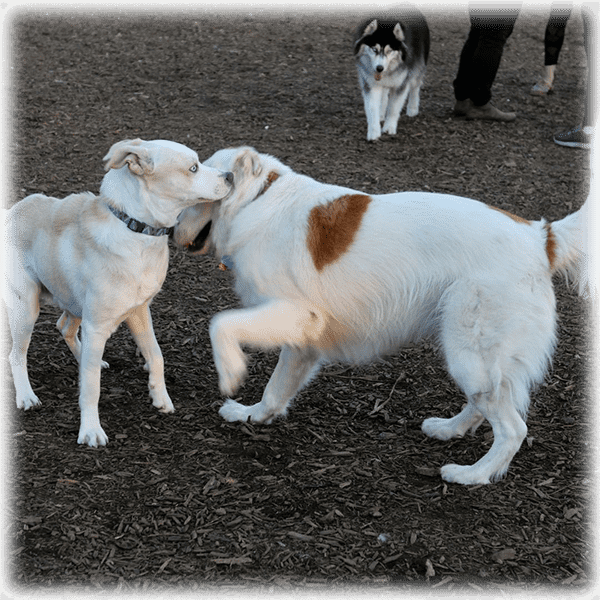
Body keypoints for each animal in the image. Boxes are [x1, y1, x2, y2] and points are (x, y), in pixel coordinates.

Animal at [2, 139, 233, 447]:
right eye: (193, 168)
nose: (231, 176)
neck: (135, 231)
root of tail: (9, 214)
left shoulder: (139, 312)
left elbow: (156, 355)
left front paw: (160, 397)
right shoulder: (97, 325)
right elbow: (91, 389)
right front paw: (90, 430)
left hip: (75, 305)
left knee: (64, 327)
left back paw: (90, 360)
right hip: (26, 309)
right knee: (17, 355)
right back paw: (26, 396)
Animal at [174, 124, 598, 485]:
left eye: (195, 195)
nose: (171, 231)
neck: (257, 199)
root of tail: (541, 236)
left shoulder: (296, 314)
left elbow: (221, 323)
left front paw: (231, 375)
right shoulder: (304, 341)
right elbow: (275, 391)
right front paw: (253, 415)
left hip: (470, 351)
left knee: (512, 429)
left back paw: (473, 475)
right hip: (477, 360)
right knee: (484, 406)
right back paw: (449, 429)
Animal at [354, 3, 430, 142]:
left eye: (389, 51)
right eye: (374, 49)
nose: (379, 68)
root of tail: (408, 3)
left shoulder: (401, 83)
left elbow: (394, 107)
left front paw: (389, 127)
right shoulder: (371, 84)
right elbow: (372, 108)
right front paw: (374, 132)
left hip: (418, 66)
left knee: (415, 86)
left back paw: (412, 108)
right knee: (384, 93)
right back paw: (381, 113)